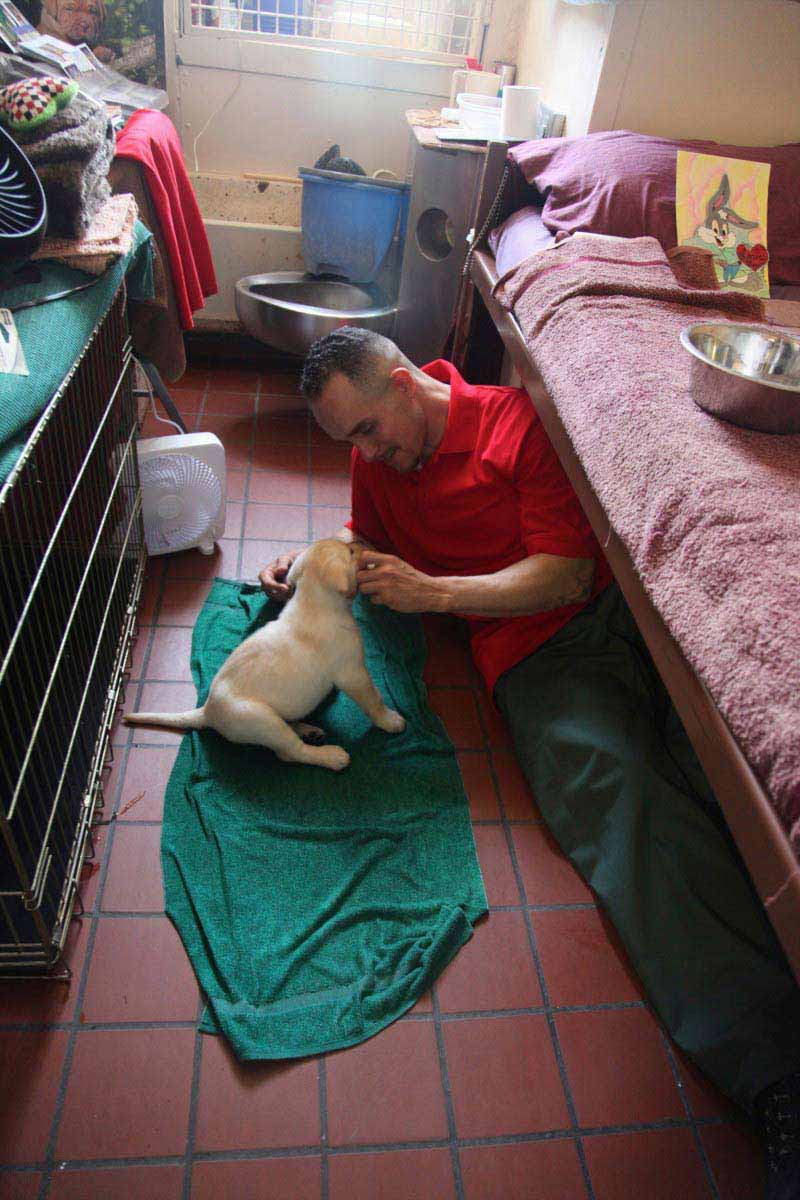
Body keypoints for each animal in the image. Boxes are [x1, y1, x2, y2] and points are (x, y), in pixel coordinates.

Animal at [125, 542, 407, 772]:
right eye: (350, 551)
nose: (362, 543)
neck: (314, 602)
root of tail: (207, 711)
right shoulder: (353, 673)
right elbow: (373, 699)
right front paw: (390, 720)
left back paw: (308, 730)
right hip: (261, 720)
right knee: (289, 752)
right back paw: (330, 756)